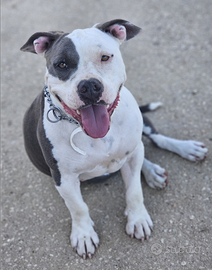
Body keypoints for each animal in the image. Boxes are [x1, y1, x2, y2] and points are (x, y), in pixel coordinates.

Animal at [21, 19, 207, 260]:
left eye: (105, 57)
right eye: (61, 64)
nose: (89, 86)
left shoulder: (131, 156)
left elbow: (134, 191)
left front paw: (137, 219)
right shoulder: (64, 178)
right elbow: (78, 207)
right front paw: (84, 234)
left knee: (154, 140)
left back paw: (184, 150)